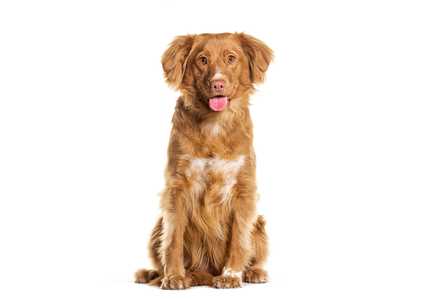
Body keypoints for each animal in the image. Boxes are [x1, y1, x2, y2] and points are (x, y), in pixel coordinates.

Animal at [136, 32, 274, 288]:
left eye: (231, 58)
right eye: (202, 60)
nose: (217, 83)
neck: (214, 125)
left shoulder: (243, 189)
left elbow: (239, 238)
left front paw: (231, 275)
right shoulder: (177, 187)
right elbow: (173, 239)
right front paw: (174, 276)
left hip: (259, 223)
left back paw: (253, 272)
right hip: (157, 225)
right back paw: (154, 274)